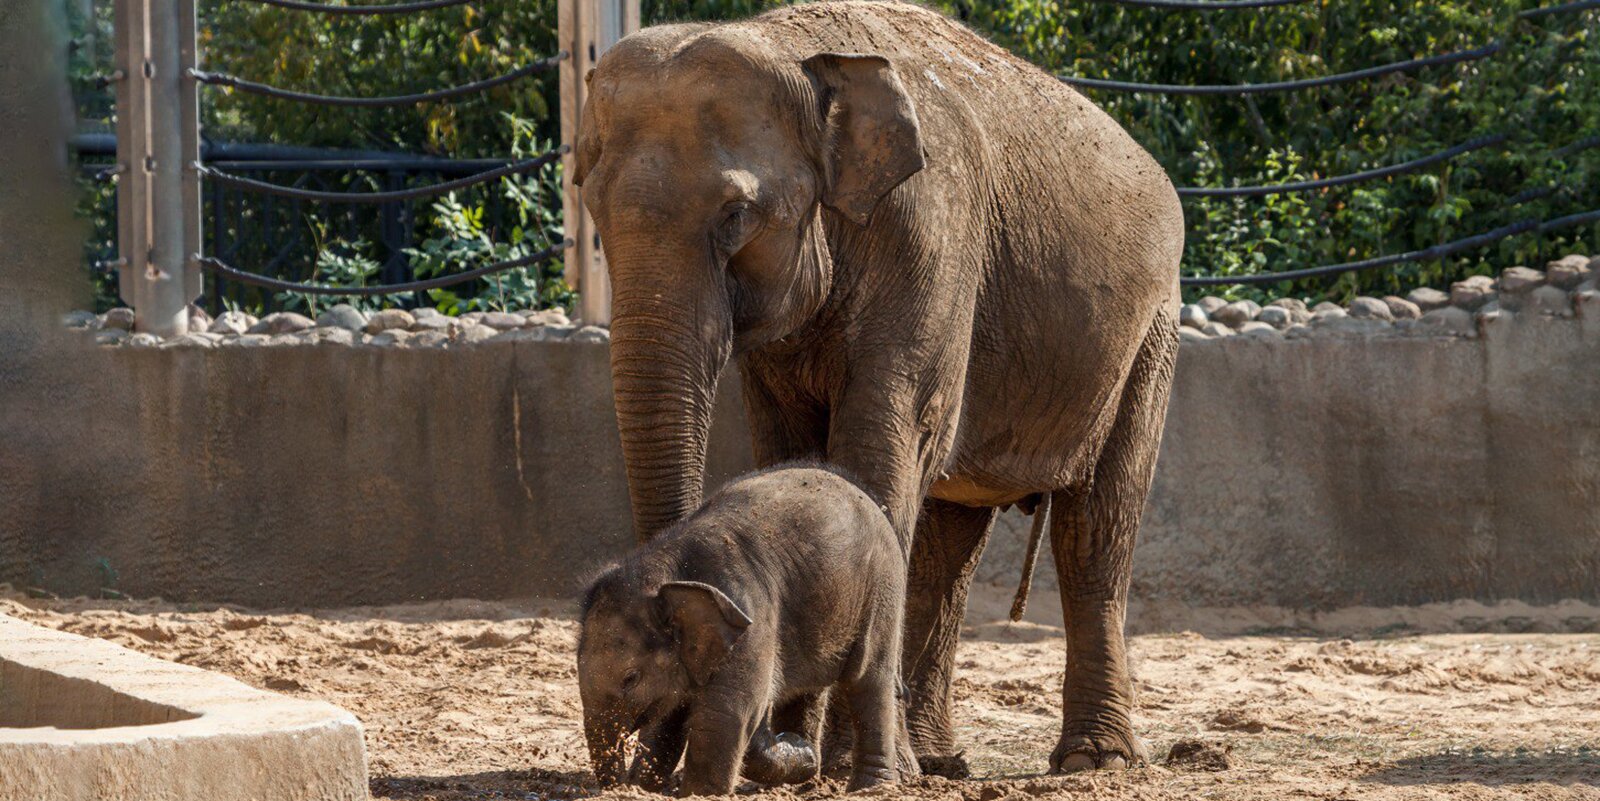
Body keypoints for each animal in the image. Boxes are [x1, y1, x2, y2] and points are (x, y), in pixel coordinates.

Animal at [579, 463, 908, 793]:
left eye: (630, 678)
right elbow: (672, 714)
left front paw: (699, 794)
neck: (668, 572)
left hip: (882, 585)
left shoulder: (750, 618)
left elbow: (728, 713)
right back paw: (804, 763)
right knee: (809, 688)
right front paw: (647, 786)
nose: (617, 786)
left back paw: (871, 787)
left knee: (868, 679)